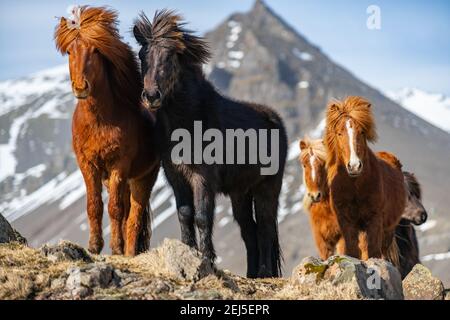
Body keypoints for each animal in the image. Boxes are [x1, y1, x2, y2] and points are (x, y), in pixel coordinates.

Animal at [54, 6, 160, 256]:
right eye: (70, 51)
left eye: (95, 51)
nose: (81, 87)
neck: (98, 122)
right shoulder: (87, 164)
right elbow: (94, 205)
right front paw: (94, 245)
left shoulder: (118, 165)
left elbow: (115, 209)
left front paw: (116, 248)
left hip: (142, 179)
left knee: (133, 218)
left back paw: (128, 252)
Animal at [134, 8, 288, 276]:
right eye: (143, 55)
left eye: (170, 57)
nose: (151, 96)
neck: (188, 121)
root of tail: (275, 119)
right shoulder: (176, 176)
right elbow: (184, 214)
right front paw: (188, 252)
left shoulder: (203, 177)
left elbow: (202, 217)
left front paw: (206, 260)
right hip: (240, 193)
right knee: (249, 230)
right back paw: (251, 274)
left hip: (267, 187)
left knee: (265, 227)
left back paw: (264, 274)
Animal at [324, 97, 404, 262]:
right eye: (339, 133)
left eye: (361, 132)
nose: (354, 166)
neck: (355, 187)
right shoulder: (346, 222)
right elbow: (352, 252)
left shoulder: (374, 220)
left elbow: (373, 252)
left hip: (388, 230)